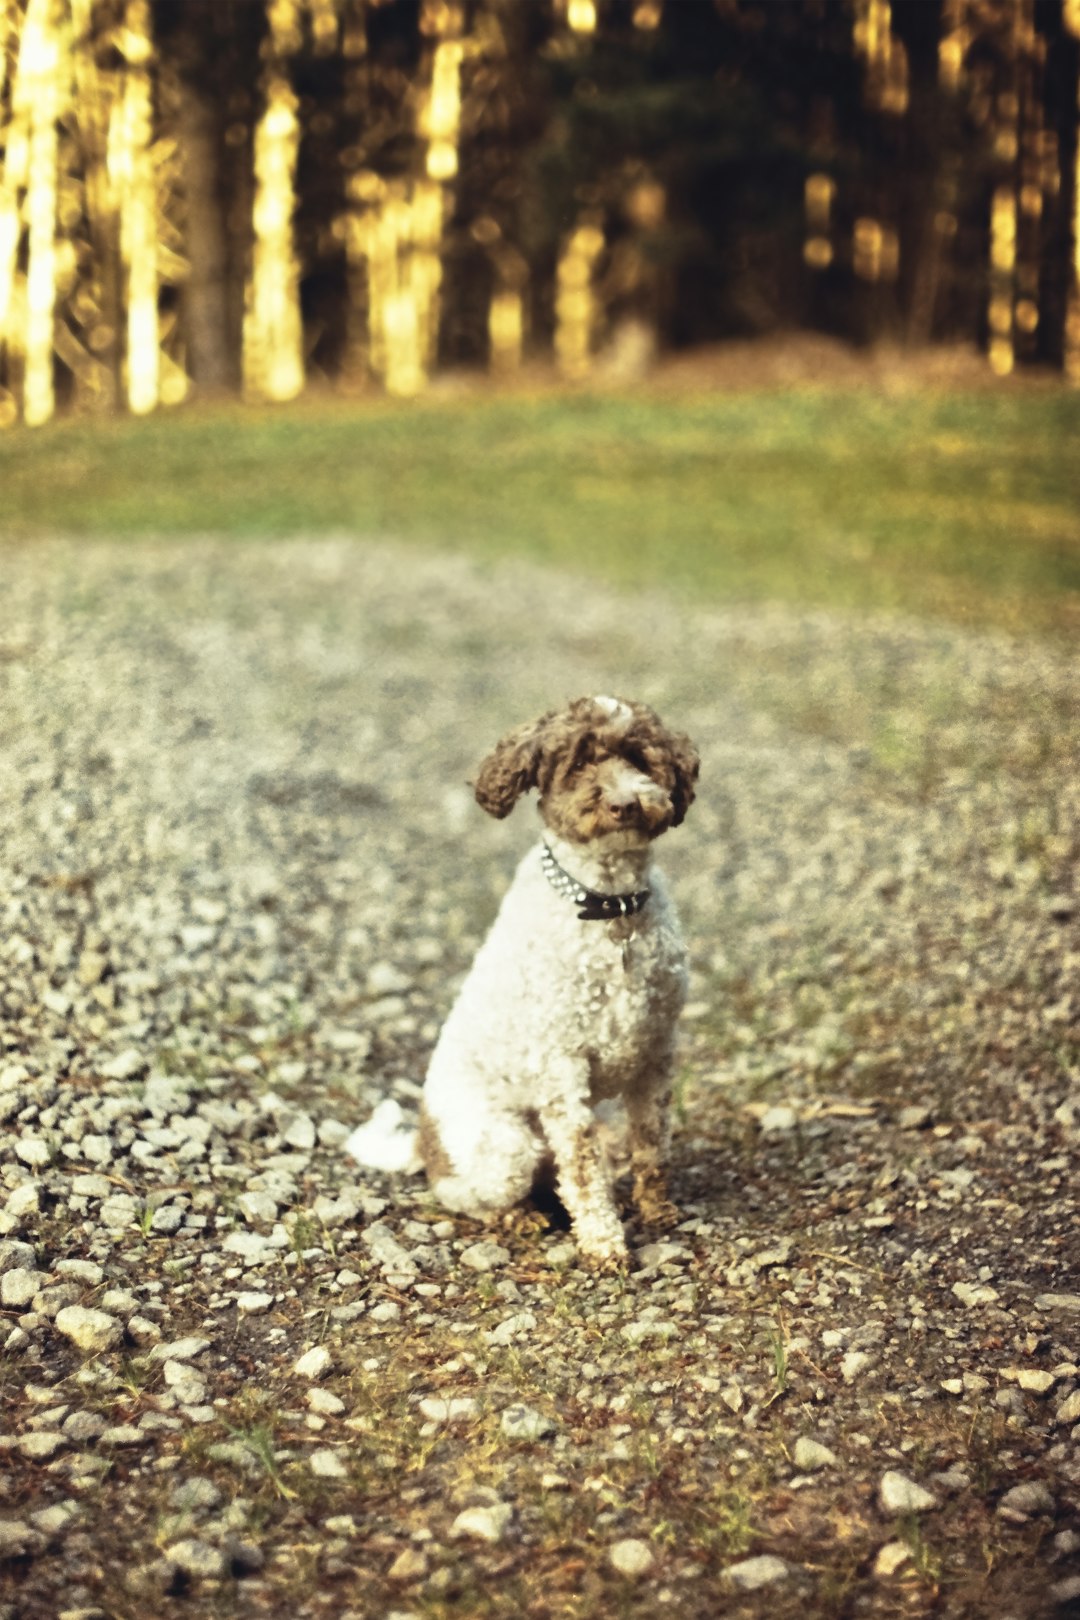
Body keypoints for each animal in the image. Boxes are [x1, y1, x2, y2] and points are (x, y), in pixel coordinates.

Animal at [346, 693, 702, 1263]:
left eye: (640, 759)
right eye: (577, 764)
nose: (625, 804)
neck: (611, 911)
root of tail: (423, 1141)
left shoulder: (656, 1052)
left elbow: (652, 1141)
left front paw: (657, 1209)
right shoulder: (563, 1071)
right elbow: (583, 1166)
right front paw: (604, 1243)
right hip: (507, 1144)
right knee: (465, 1195)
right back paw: (520, 1217)